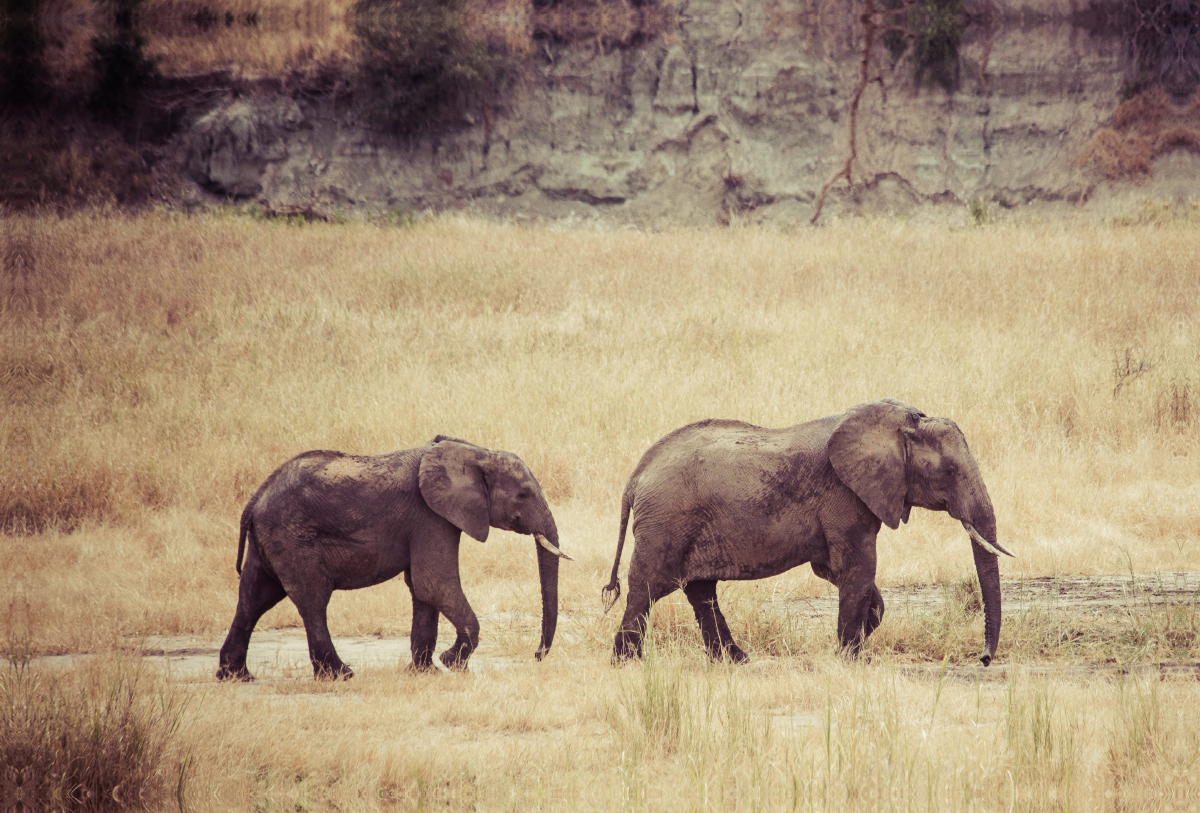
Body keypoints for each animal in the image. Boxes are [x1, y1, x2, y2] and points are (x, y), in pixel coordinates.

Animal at [217, 436, 571, 685]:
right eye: (523, 494)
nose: (537, 655)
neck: (475, 453)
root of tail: (255, 499)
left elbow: (423, 590)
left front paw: (426, 672)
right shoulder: (431, 516)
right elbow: (434, 584)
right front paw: (452, 663)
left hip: (271, 539)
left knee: (254, 598)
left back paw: (236, 677)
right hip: (292, 537)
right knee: (312, 600)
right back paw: (341, 675)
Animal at [600, 400, 1012, 666]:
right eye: (949, 472)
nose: (983, 659)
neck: (897, 424)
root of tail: (636, 475)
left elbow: (837, 572)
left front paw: (857, 641)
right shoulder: (845, 496)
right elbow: (859, 568)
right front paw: (851, 660)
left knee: (700, 591)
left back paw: (736, 660)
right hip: (666, 522)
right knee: (647, 588)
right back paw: (627, 663)